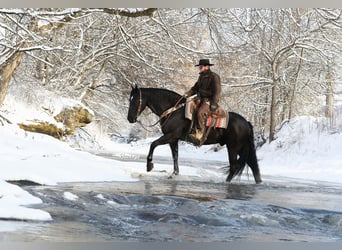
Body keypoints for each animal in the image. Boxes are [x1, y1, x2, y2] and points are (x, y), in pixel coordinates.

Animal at [126, 86, 262, 184]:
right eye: (129, 99)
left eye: (135, 100)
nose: (130, 118)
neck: (173, 110)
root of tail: (246, 122)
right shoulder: (173, 140)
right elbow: (175, 156)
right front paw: (175, 174)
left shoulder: (170, 136)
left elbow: (153, 144)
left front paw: (149, 165)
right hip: (241, 148)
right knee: (252, 165)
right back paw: (258, 182)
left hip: (233, 148)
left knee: (234, 166)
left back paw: (226, 182)